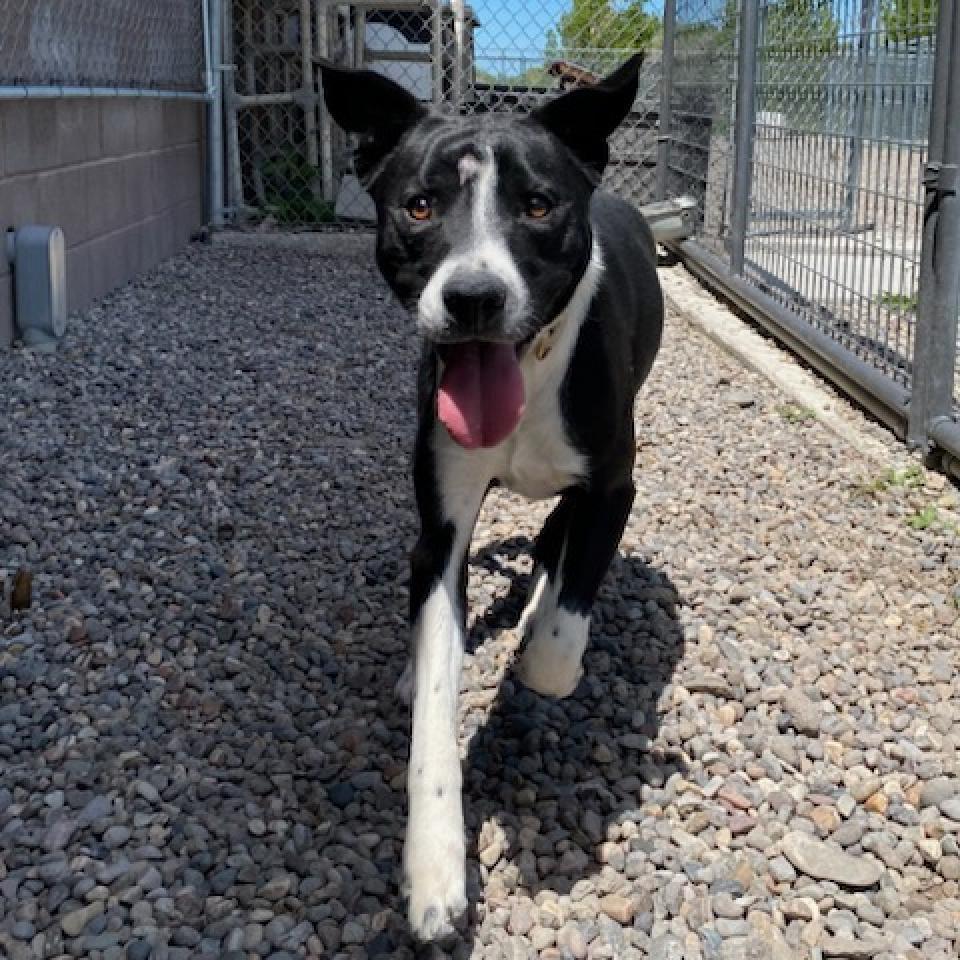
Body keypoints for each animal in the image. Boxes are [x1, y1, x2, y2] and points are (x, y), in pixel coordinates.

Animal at [318, 56, 664, 940]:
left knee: (554, 551)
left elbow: (558, 642)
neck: (530, 367)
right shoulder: (440, 524)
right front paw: (436, 866)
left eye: (538, 206)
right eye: (420, 205)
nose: (472, 297)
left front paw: (537, 647)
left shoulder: (612, 486)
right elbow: (437, 696)